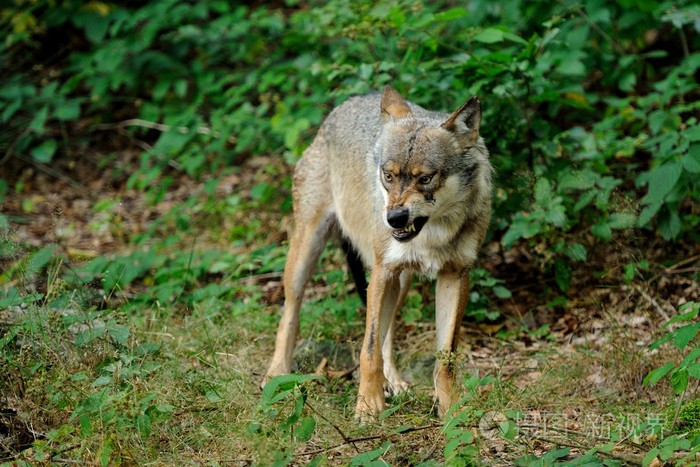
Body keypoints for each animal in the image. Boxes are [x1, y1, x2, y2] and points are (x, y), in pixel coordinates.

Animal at [262, 86, 492, 422]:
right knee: (289, 314)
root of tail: (347, 103)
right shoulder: (383, 271)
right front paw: (368, 408)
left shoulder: (455, 275)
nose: (393, 218)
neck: (435, 232)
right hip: (307, 256)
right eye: (388, 175)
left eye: (426, 178)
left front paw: (451, 413)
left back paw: (393, 383)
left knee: (388, 335)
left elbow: (445, 359)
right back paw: (276, 373)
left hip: (401, 282)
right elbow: (368, 350)